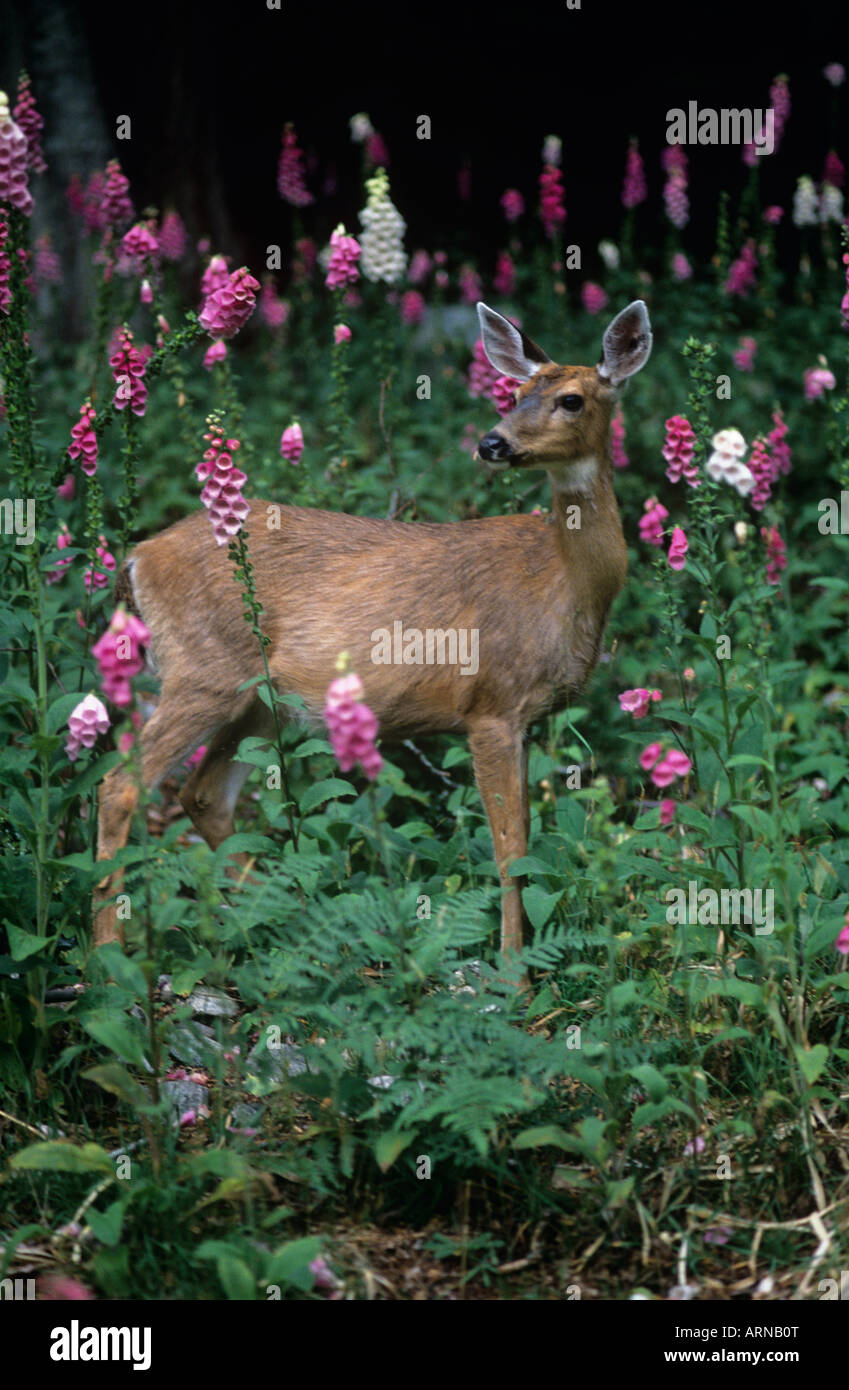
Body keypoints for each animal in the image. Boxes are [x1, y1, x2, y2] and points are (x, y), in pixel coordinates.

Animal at [93, 298, 650, 961]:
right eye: (514, 393)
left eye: (571, 399)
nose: (492, 442)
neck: (565, 583)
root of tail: (138, 556)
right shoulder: (490, 703)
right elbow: (510, 849)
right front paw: (513, 966)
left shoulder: (526, 716)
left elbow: (526, 839)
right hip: (204, 670)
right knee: (119, 787)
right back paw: (107, 956)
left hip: (260, 699)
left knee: (203, 795)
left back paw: (295, 924)